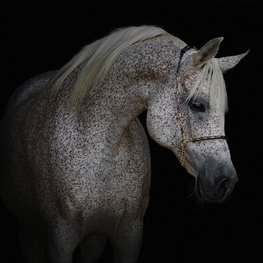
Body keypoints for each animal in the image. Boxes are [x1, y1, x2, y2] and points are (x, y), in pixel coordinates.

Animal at [0, 25, 249, 263]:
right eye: (197, 105)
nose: (226, 182)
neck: (102, 150)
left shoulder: (129, 235)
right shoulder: (60, 238)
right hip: (30, 230)